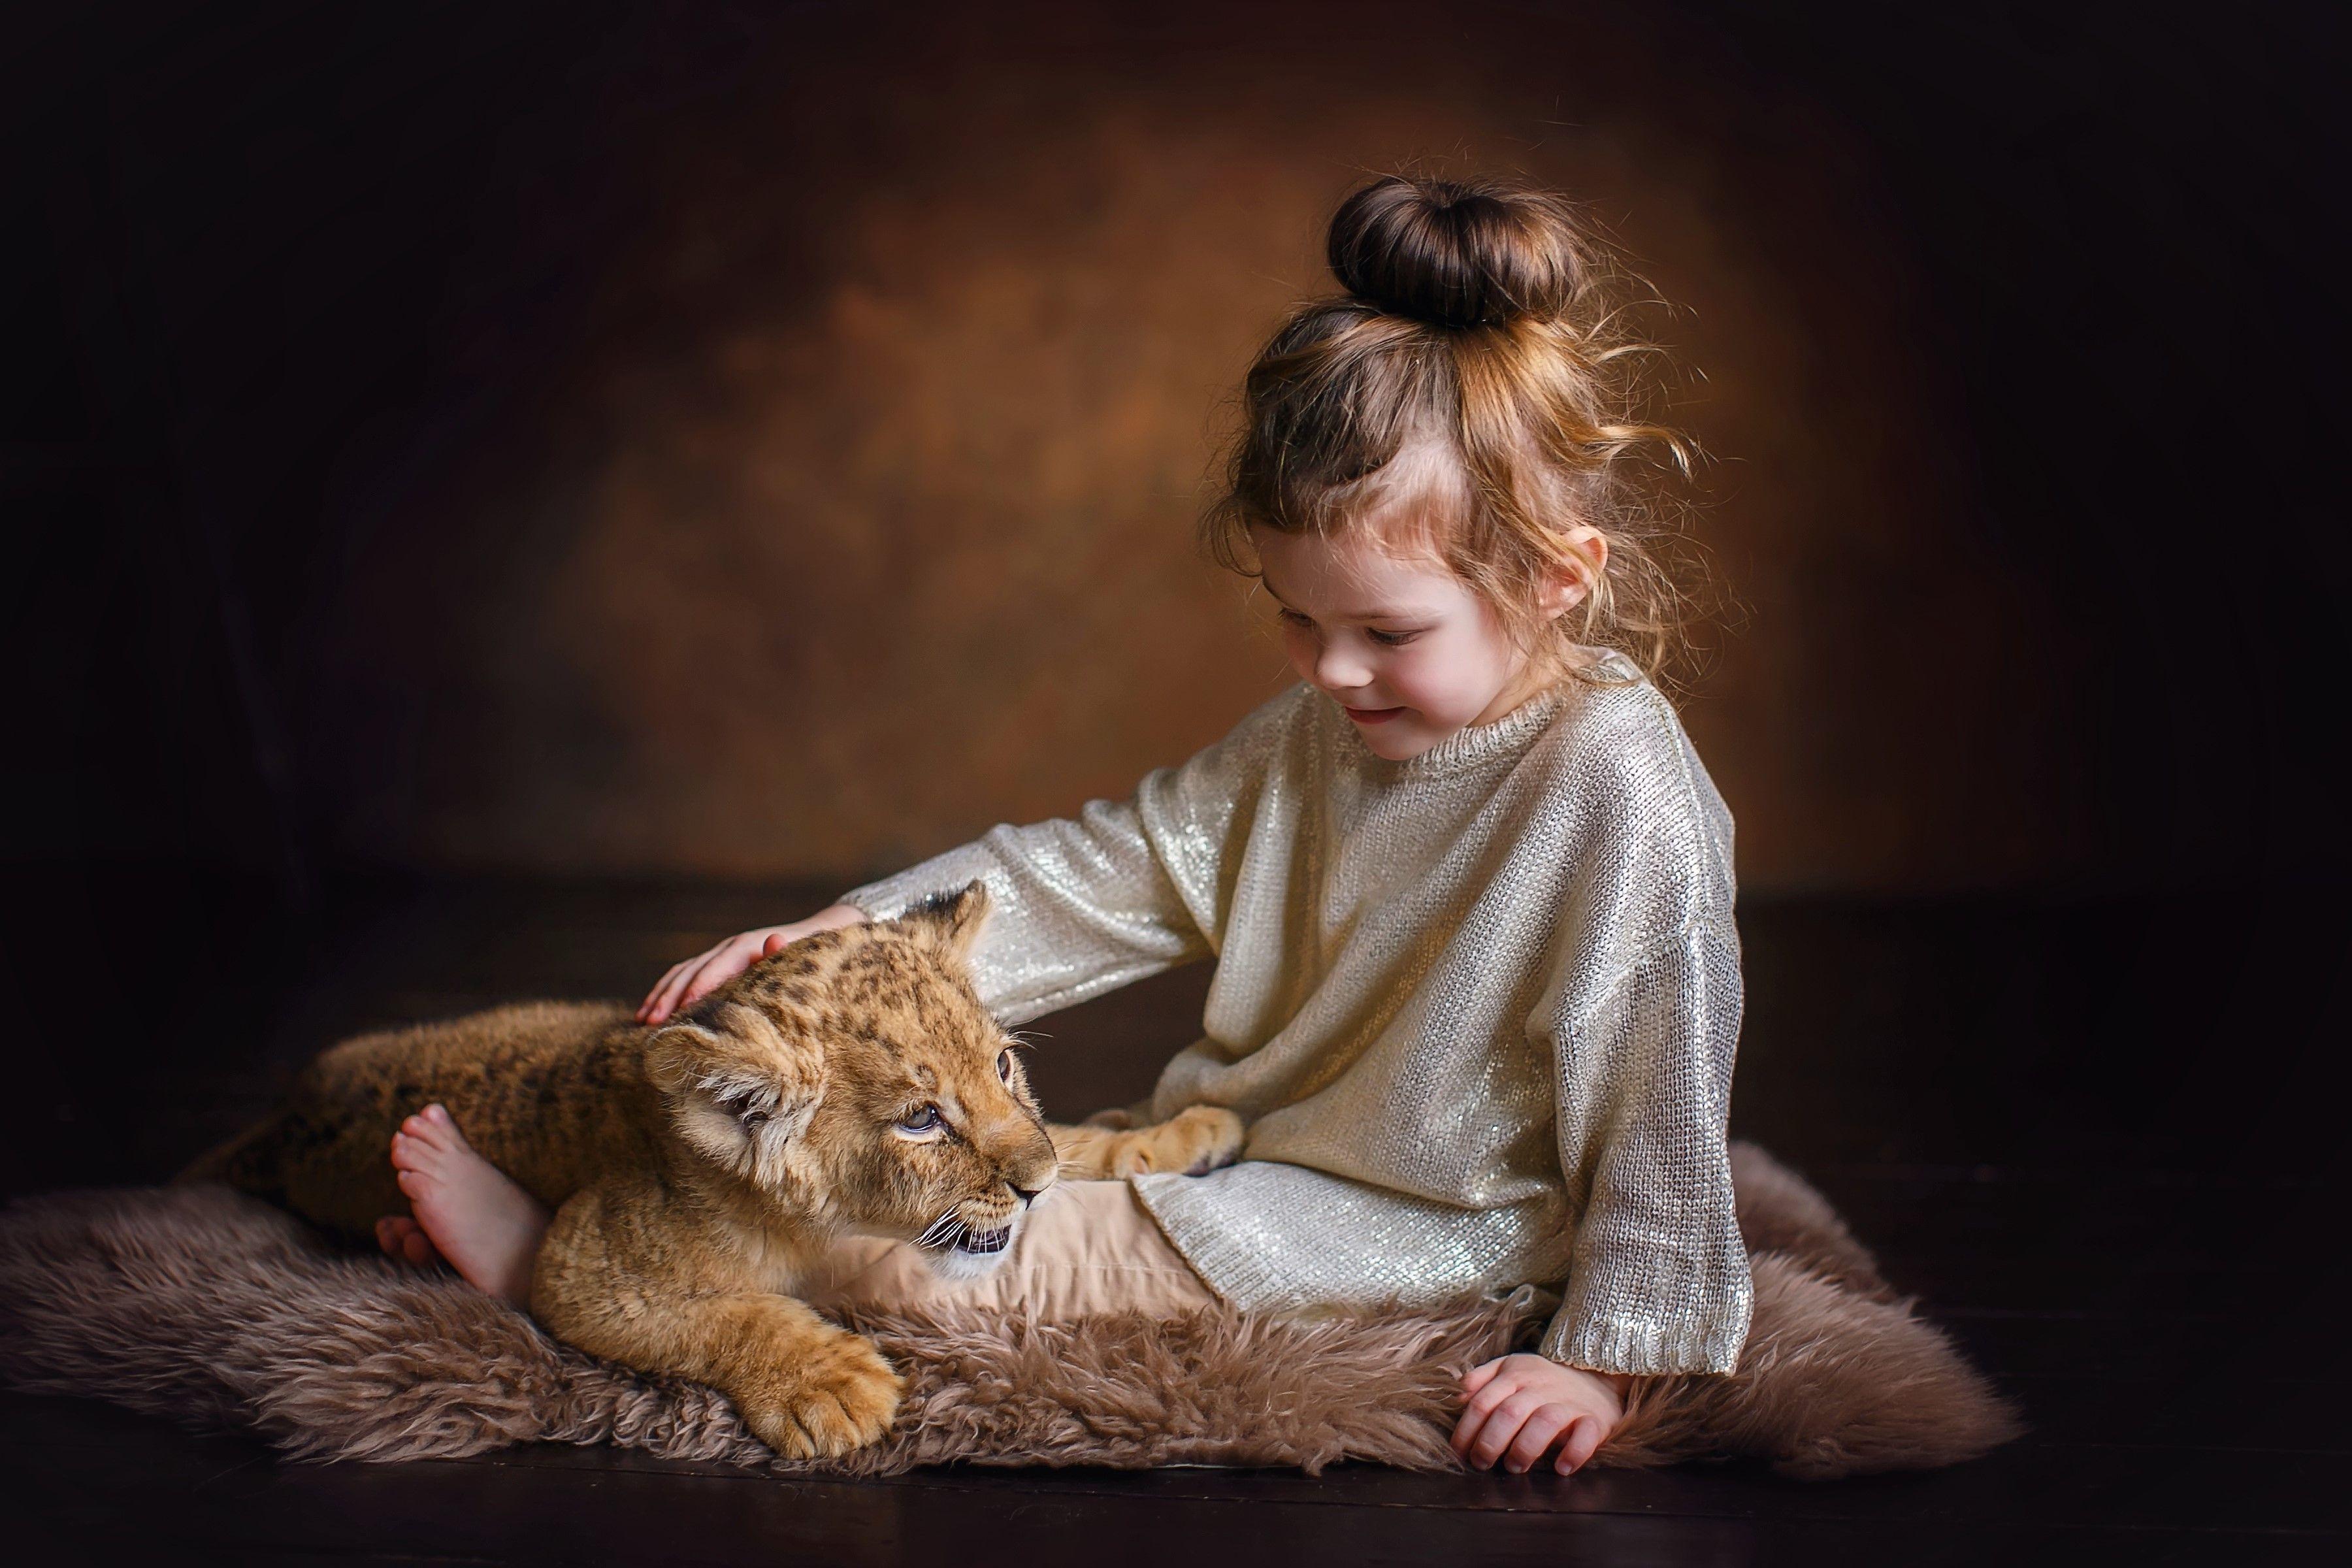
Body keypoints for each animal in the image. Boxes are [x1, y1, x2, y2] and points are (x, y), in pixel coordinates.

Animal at [187, 882, 1244, 1458]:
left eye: (1002, 1066)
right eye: (920, 1121)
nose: (1031, 1190)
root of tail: (290, 1108)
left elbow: (1074, 1135)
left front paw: (1181, 1133)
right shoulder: (584, 1266)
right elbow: (729, 1314)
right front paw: (834, 1387)